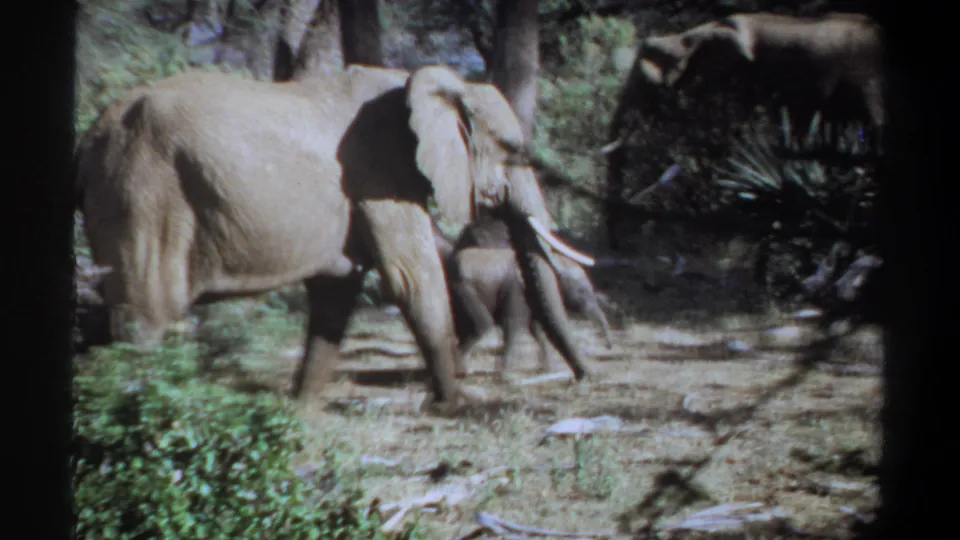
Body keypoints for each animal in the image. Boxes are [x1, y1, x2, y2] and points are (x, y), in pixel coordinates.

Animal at [433, 218, 613, 375]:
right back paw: (459, 370)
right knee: (481, 325)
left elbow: (535, 328)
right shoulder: (517, 288)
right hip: (463, 289)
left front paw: (548, 369)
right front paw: (503, 372)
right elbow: (514, 323)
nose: (609, 347)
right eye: (582, 291)